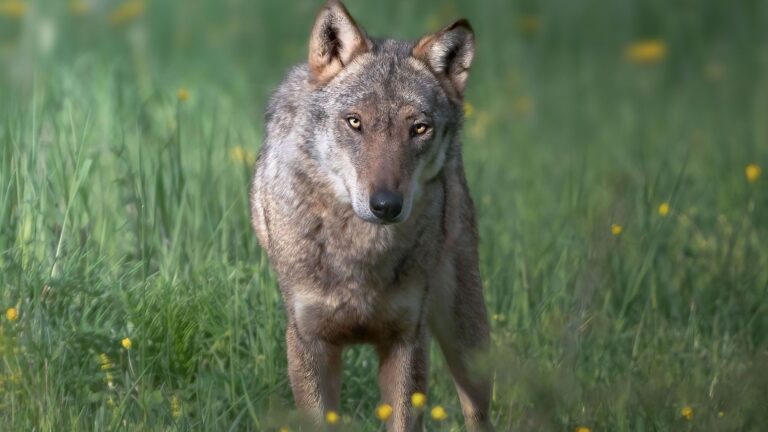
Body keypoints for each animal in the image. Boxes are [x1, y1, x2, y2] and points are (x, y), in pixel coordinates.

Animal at [250, 1, 493, 430]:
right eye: (355, 122)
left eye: (419, 129)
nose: (385, 205)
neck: (361, 256)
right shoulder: (309, 343)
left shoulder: (407, 340)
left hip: (468, 340)